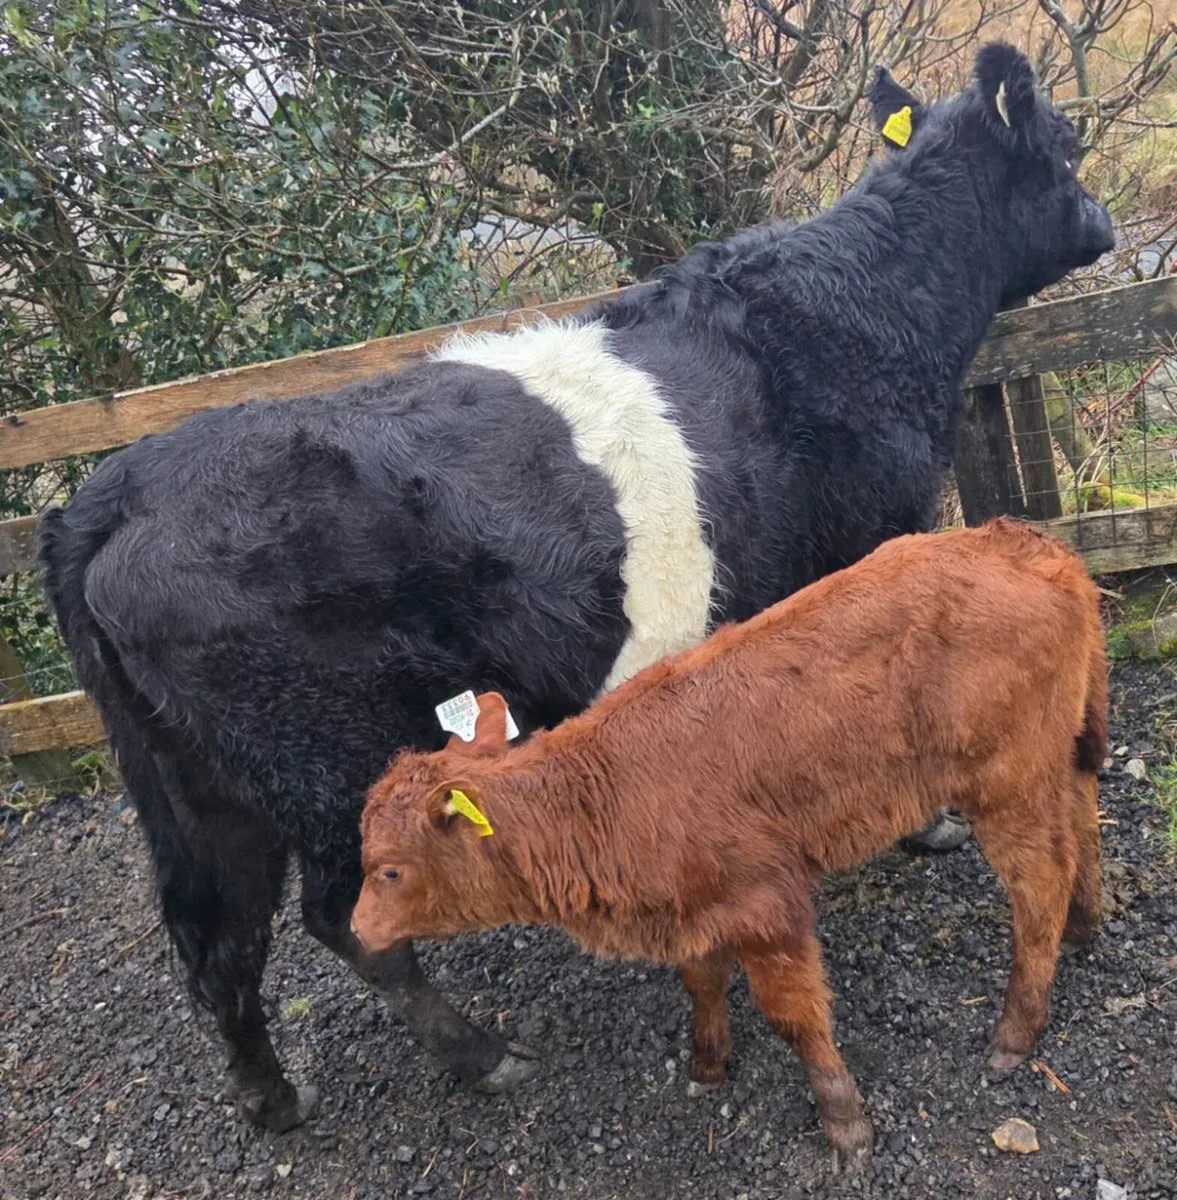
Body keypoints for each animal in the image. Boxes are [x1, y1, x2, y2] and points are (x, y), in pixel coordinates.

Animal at [353, 517, 1108, 1173]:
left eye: (388, 870)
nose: (357, 930)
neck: (603, 797)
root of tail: (1019, 540)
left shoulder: (765, 908)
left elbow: (795, 1019)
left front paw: (845, 1125)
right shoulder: (691, 908)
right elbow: (702, 981)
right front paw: (707, 1063)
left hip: (1004, 780)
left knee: (1040, 881)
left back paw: (1015, 1031)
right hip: (1059, 752)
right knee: (1083, 823)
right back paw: (1084, 926)